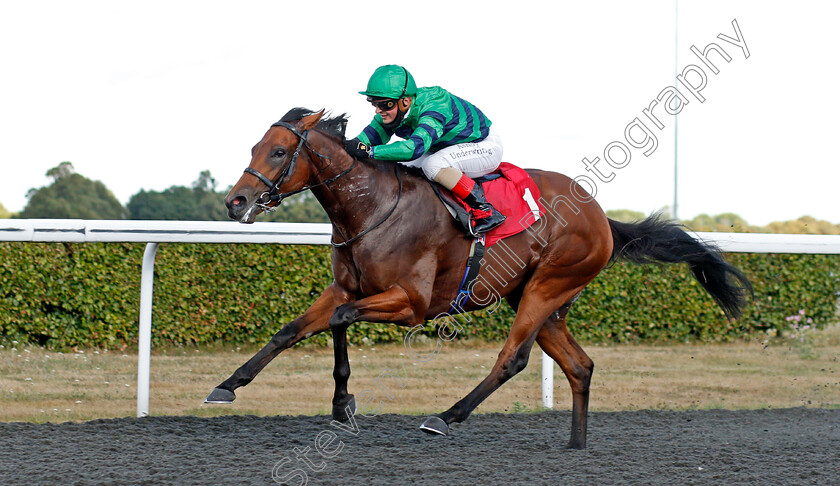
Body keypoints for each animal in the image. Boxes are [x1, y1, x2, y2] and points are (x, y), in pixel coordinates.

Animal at [207, 108, 752, 450]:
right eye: (256, 146)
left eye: (279, 153)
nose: (236, 202)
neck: (370, 209)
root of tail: (602, 218)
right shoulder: (348, 287)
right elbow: (295, 329)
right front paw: (229, 386)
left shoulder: (411, 303)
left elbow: (339, 319)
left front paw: (344, 404)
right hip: (536, 298)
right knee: (580, 365)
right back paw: (576, 444)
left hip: (546, 287)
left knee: (513, 358)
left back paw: (445, 417)